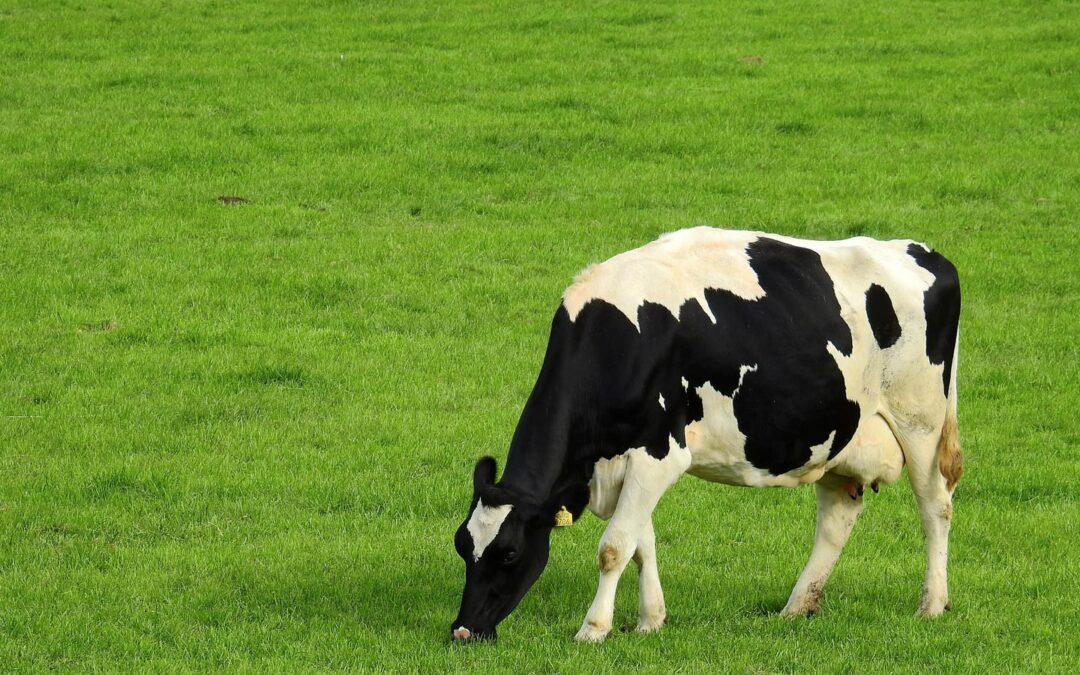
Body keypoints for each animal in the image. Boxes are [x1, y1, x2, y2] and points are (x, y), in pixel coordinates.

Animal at [451, 227, 962, 643]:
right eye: (461, 545)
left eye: (510, 553)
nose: (463, 630)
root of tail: (926, 252)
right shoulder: (632, 459)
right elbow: (641, 543)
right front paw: (650, 620)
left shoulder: (659, 453)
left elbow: (614, 548)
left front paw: (593, 629)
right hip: (839, 436)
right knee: (838, 517)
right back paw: (797, 606)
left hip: (920, 421)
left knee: (935, 505)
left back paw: (932, 605)